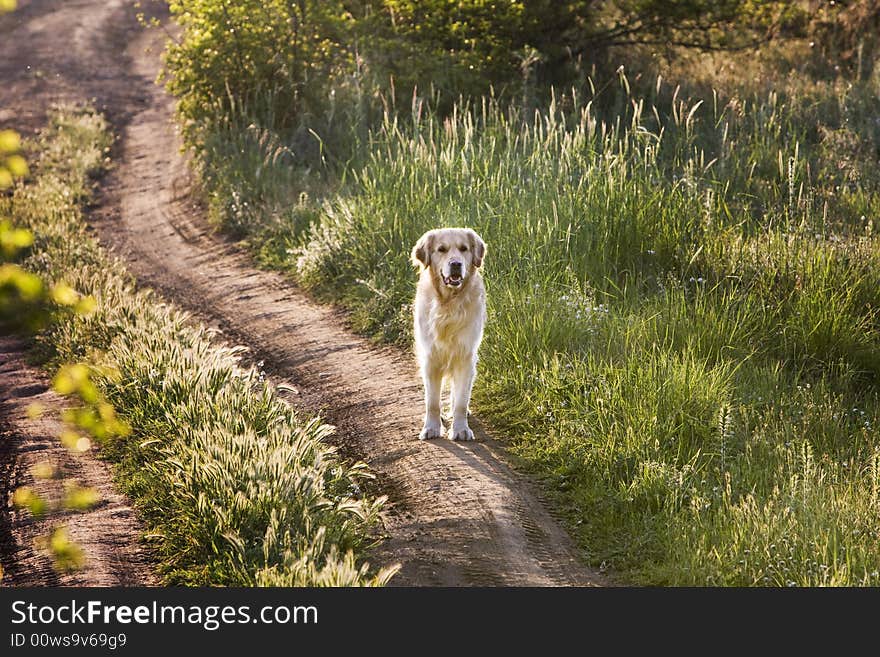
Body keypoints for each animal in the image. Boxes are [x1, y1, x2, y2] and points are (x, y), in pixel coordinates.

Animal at [412, 227, 488, 440]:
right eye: (441, 249)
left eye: (463, 249)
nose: (456, 264)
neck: (448, 305)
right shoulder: (430, 358)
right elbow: (432, 402)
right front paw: (431, 427)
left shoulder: (466, 356)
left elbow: (461, 401)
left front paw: (461, 428)